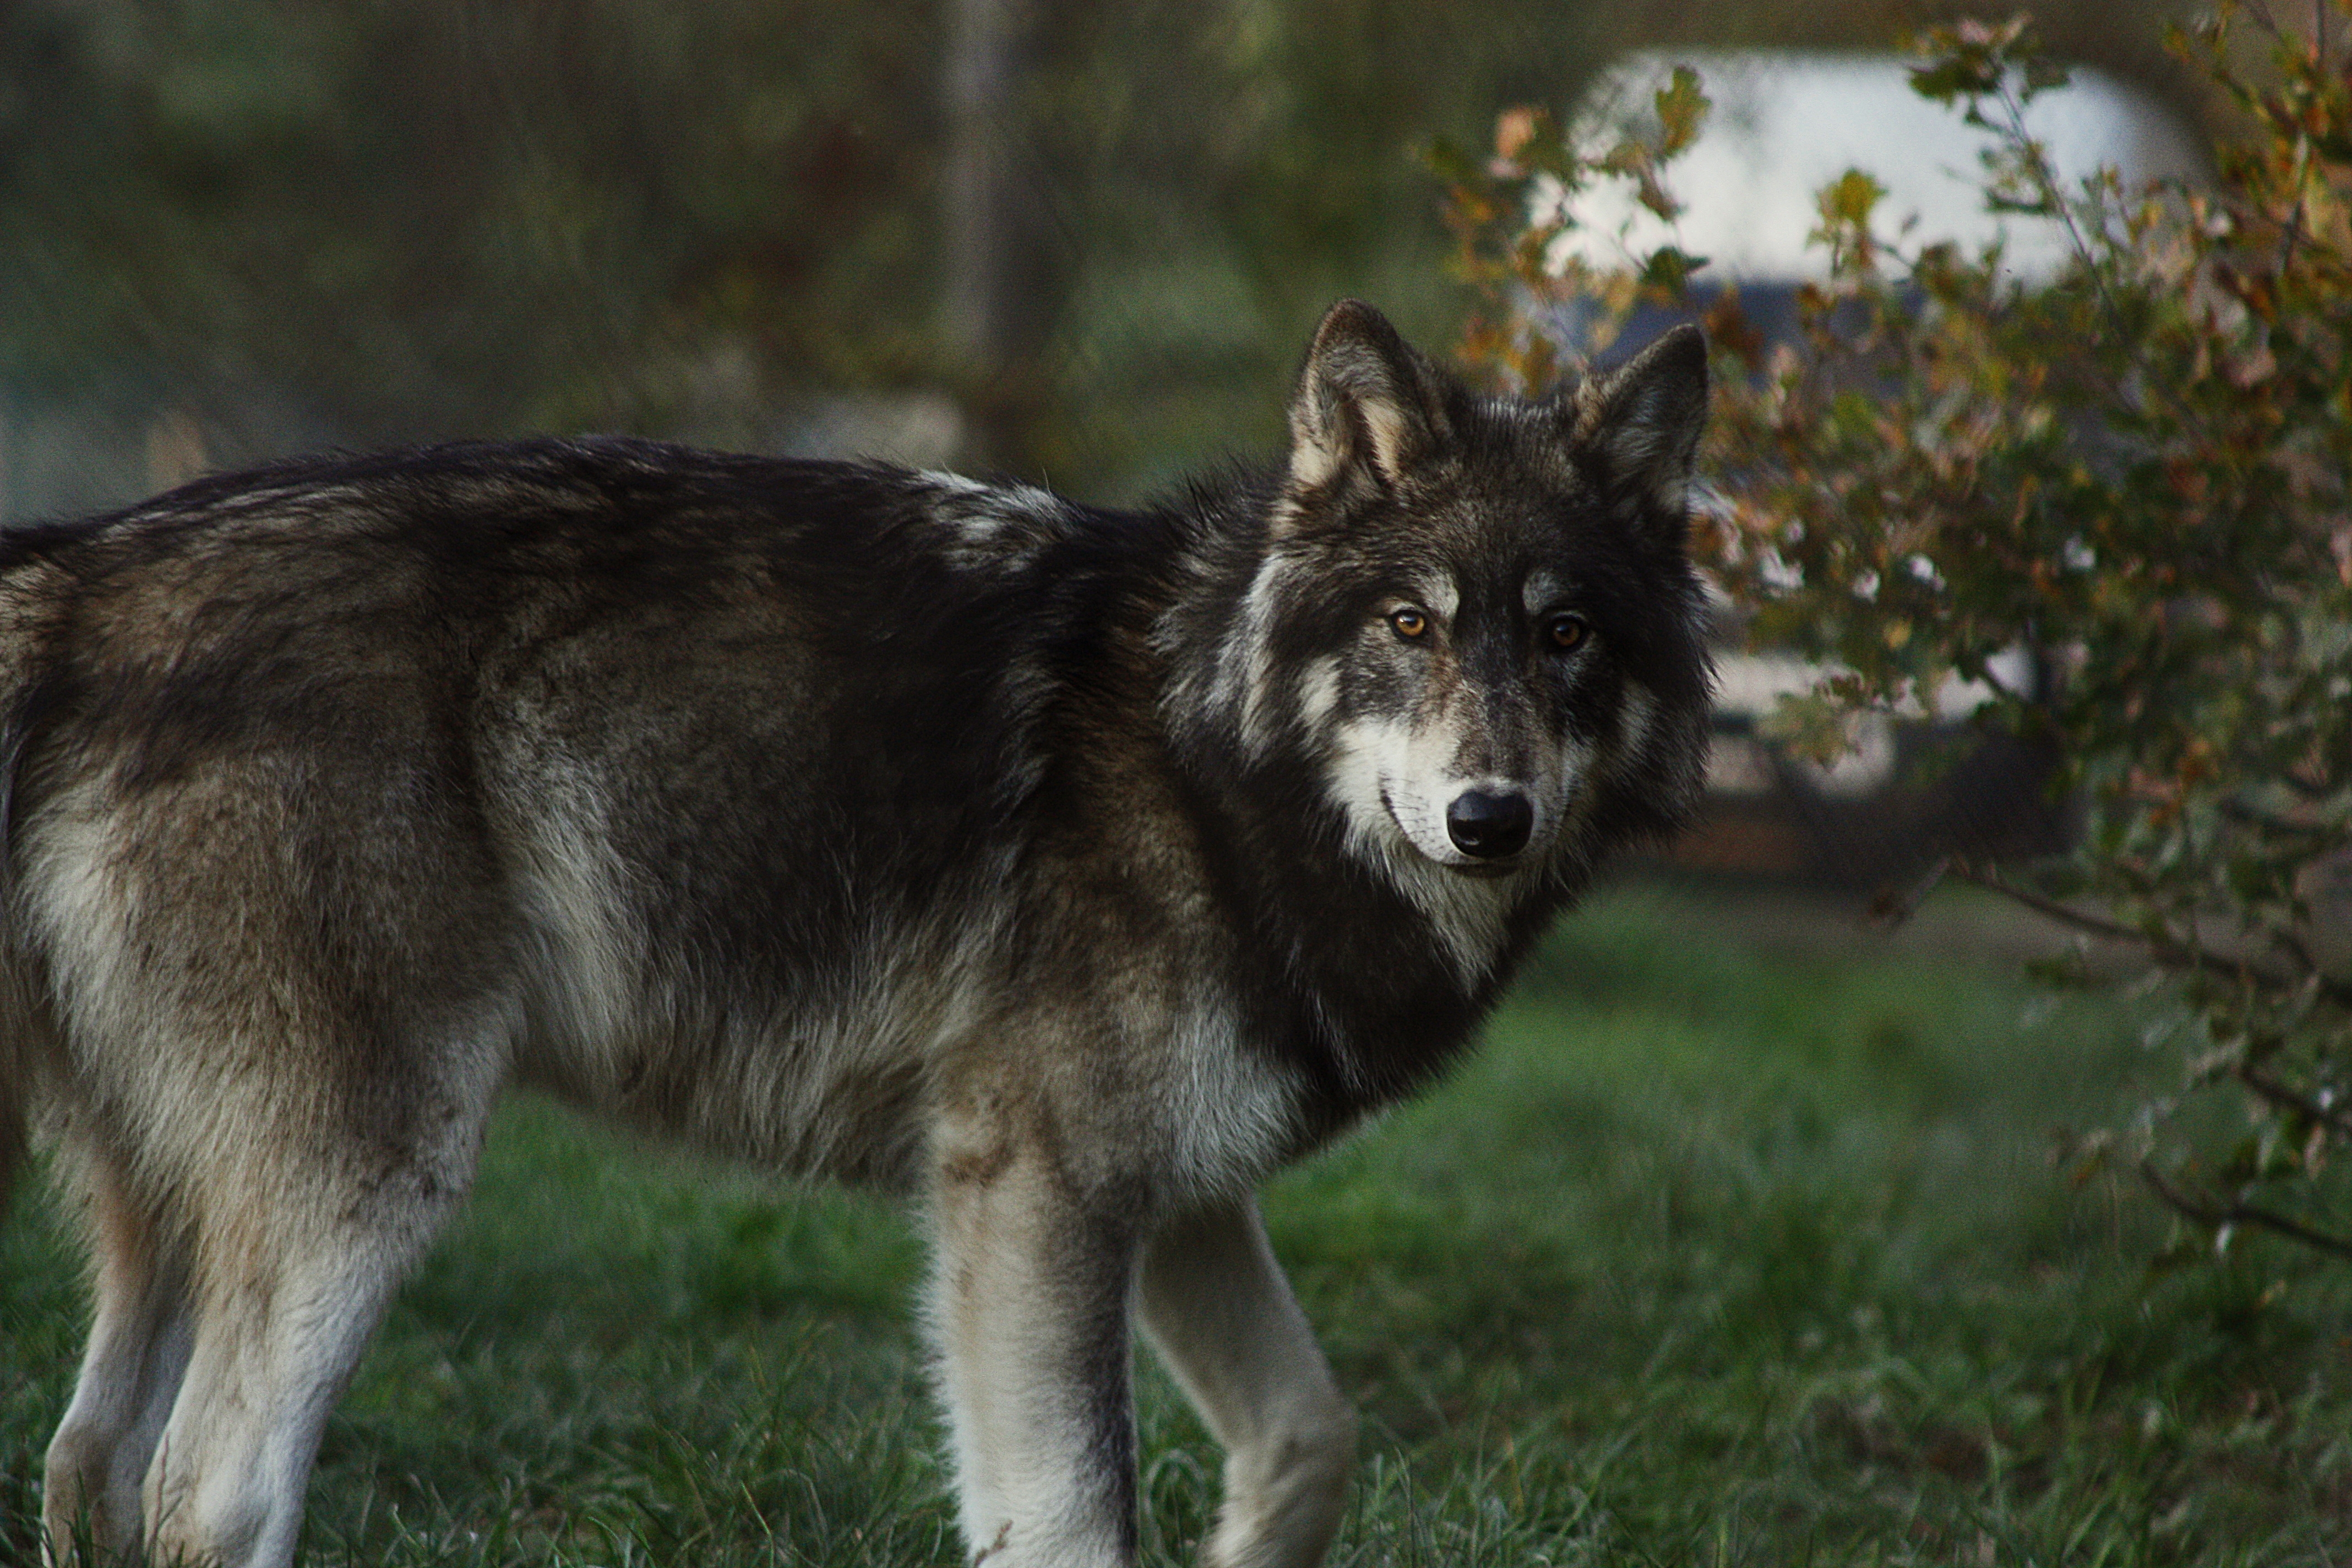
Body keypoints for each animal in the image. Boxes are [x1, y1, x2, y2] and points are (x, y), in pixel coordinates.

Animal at [0, 301, 1712, 1568]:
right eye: (1412, 626)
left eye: (1566, 635)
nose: (1490, 816)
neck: (1209, 758)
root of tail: (84, 574)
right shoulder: (1033, 1188)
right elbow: (1076, 1520)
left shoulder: (1169, 1195)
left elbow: (1310, 1440)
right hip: (379, 1172)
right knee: (207, 1494)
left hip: (174, 1215)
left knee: (87, 1465)